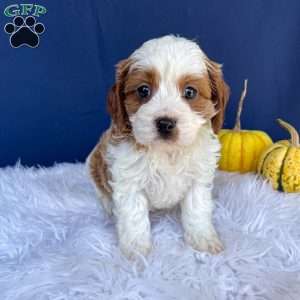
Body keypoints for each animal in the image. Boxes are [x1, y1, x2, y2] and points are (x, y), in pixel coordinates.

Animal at [86, 35, 230, 258]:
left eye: (190, 92)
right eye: (143, 90)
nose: (165, 123)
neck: (168, 152)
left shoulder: (198, 179)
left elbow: (197, 210)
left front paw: (203, 240)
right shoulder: (129, 182)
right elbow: (134, 218)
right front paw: (137, 251)